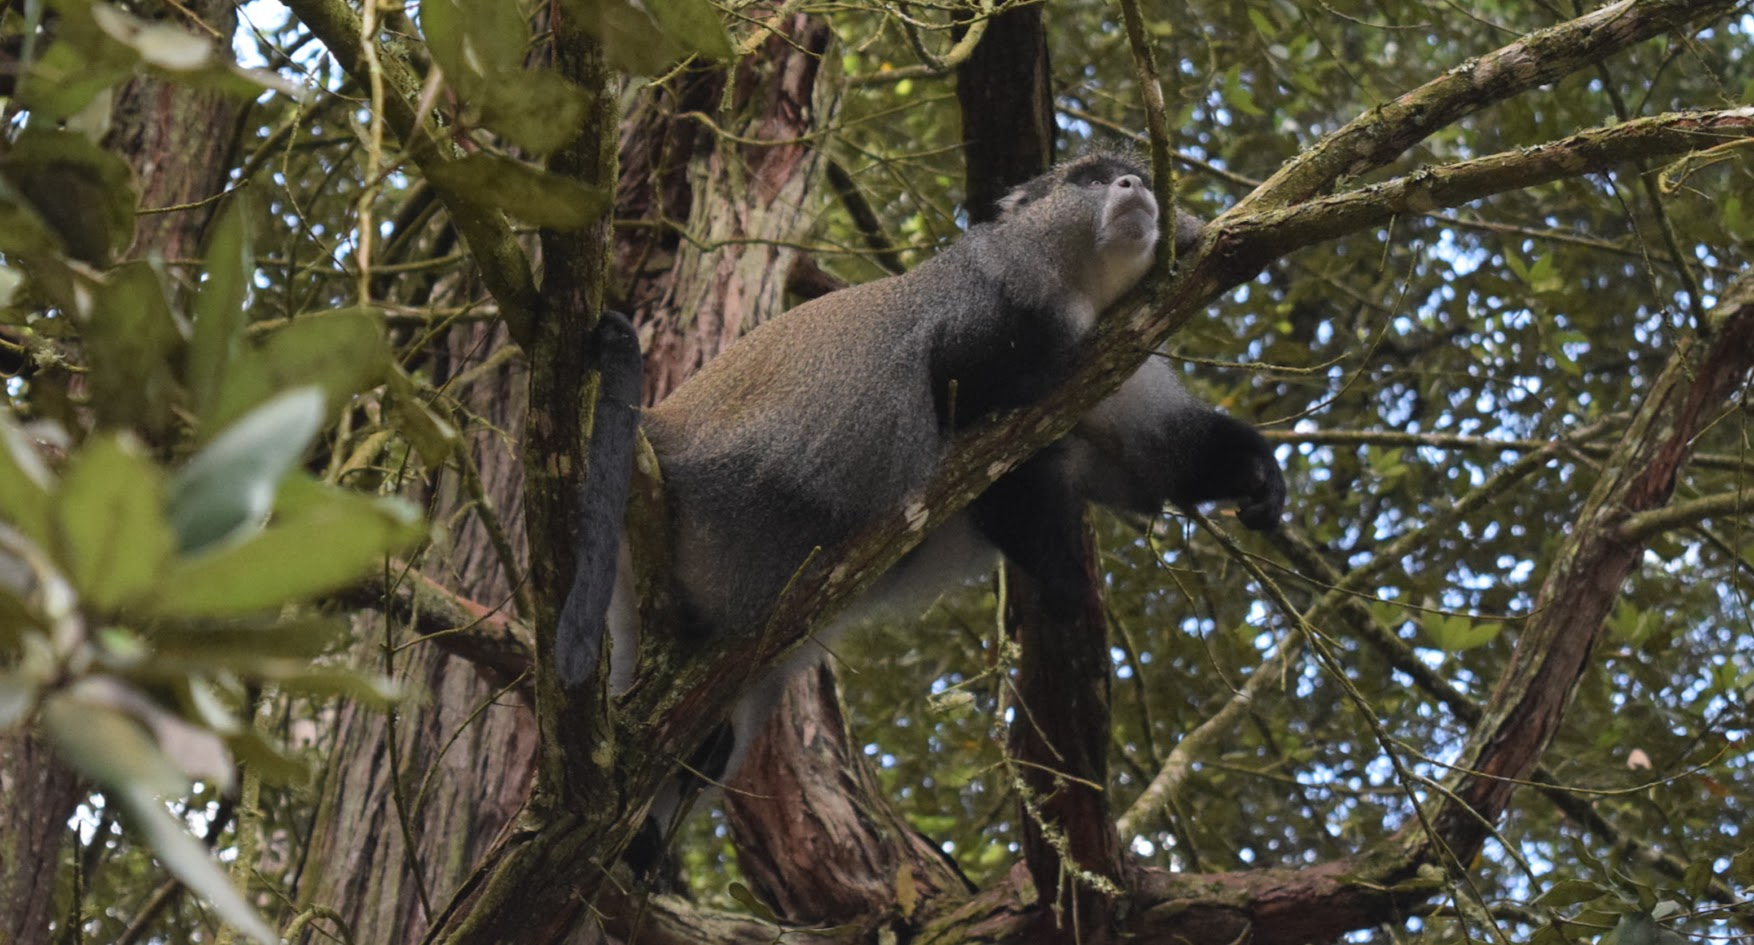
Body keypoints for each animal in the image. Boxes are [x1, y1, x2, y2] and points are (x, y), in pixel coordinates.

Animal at [556, 153, 1285, 853]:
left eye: (1129, 169)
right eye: (1090, 179)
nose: (1134, 184)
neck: (1083, 292)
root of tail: (665, 435)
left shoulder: (1124, 355)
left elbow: (1150, 458)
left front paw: (1259, 475)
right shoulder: (997, 318)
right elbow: (987, 440)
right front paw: (1072, 592)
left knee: (710, 746)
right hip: (740, 512)